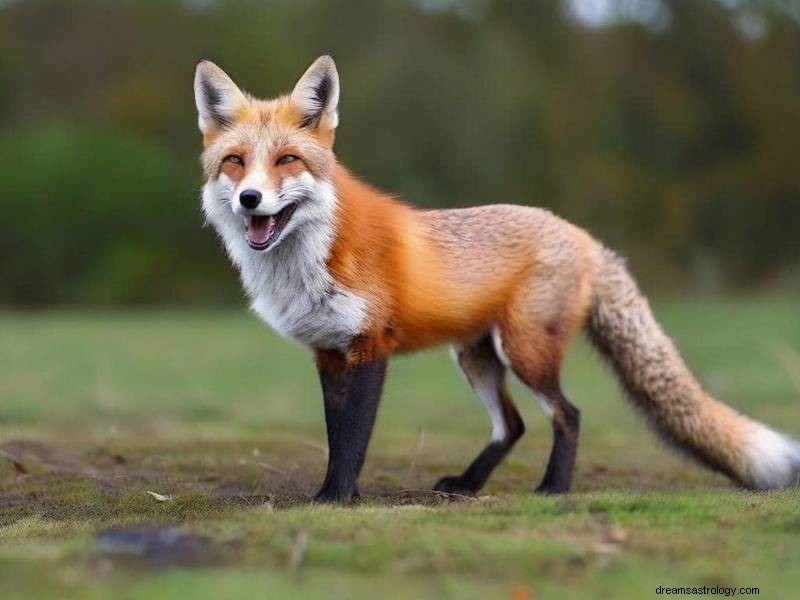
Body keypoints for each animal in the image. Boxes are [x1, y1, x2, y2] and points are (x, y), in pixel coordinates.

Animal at [194, 55, 800, 503]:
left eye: (288, 160)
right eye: (236, 162)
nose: (251, 199)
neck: (309, 262)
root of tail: (580, 234)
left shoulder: (370, 346)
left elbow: (354, 439)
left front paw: (337, 499)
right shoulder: (328, 352)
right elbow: (335, 433)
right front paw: (334, 494)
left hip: (525, 351)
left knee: (567, 414)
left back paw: (553, 488)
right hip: (475, 357)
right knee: (512, 426)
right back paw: (467, 485)